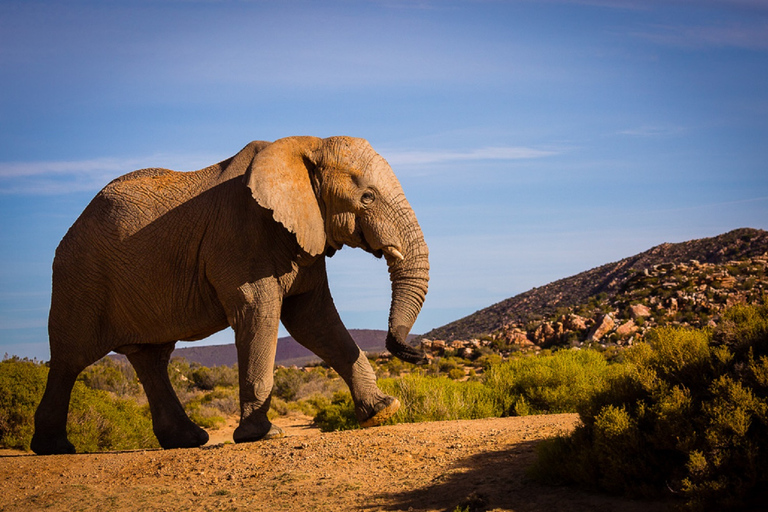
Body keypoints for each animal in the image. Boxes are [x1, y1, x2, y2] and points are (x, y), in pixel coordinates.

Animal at [31, 136, 426, 456]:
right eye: (367, 197)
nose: (417, 353)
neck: (307, 144)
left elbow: (315, 322)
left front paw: (383, 411)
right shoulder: (240, 236)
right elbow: (260, 315)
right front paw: (263, 435)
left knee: (151, 358)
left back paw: (188, 440)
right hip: (80, 278)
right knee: (70, 357)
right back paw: (55, 448)